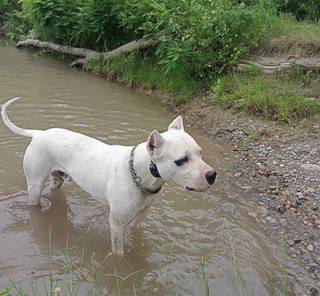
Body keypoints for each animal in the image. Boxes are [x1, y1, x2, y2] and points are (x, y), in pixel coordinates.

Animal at [1, 97, 216, 254]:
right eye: (181, 160)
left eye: (200, 153)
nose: (212, 174)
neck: (139, 173)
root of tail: (39, 133)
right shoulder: (117, 224)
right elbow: (119, 253)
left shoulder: (139, 218)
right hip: (35, 185)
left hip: (57, 179)